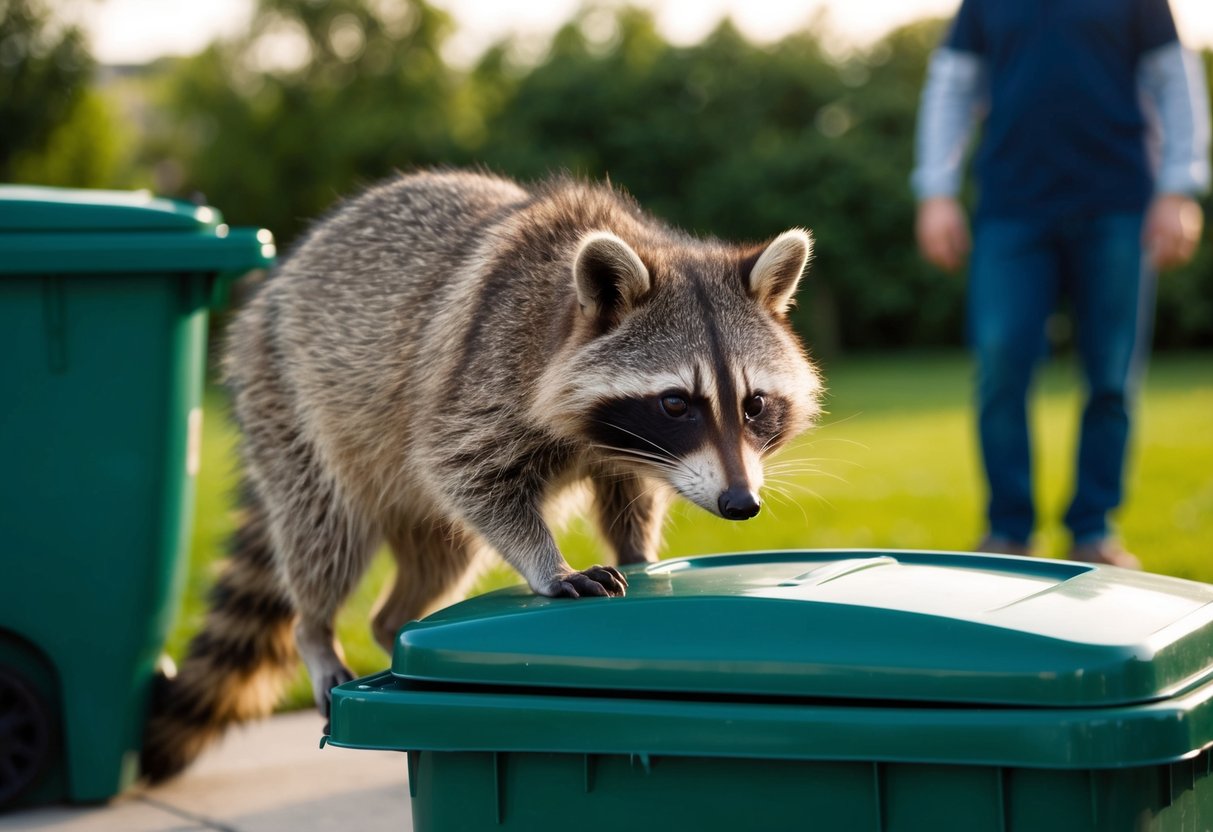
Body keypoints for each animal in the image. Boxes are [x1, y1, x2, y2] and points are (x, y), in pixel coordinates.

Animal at [140, 170, 823, 781]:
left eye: (754, 404)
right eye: (677, 403)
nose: (741, 503)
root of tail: (273, 285)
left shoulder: (630, 452)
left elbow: (626, 497)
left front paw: (637, 550)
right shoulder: (483, 375)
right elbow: (461, 469)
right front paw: (551, 565)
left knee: (440, 559)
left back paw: (391, 626)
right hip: (291, 401)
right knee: (325, 533)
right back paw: (317, 633)